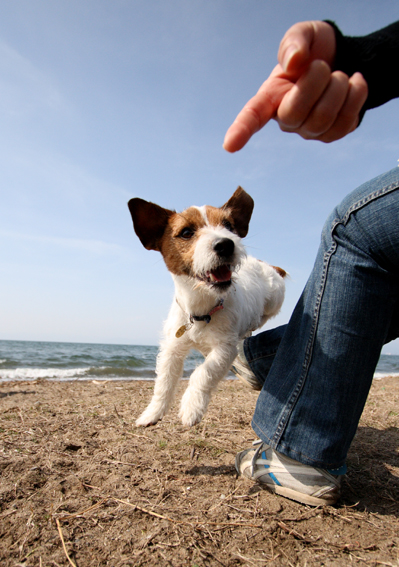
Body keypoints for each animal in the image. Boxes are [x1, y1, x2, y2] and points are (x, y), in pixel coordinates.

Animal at [130, 189, 286, 428]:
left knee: (261, 318)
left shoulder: (225, 348)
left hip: (274, 299)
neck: (201, 310)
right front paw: (152, 413)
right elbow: (163, 383)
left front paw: (191, 407)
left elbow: (204, 372)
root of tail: (265, 264)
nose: (226, 244)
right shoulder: (171, 349)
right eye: (186, 232)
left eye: (229, 225)